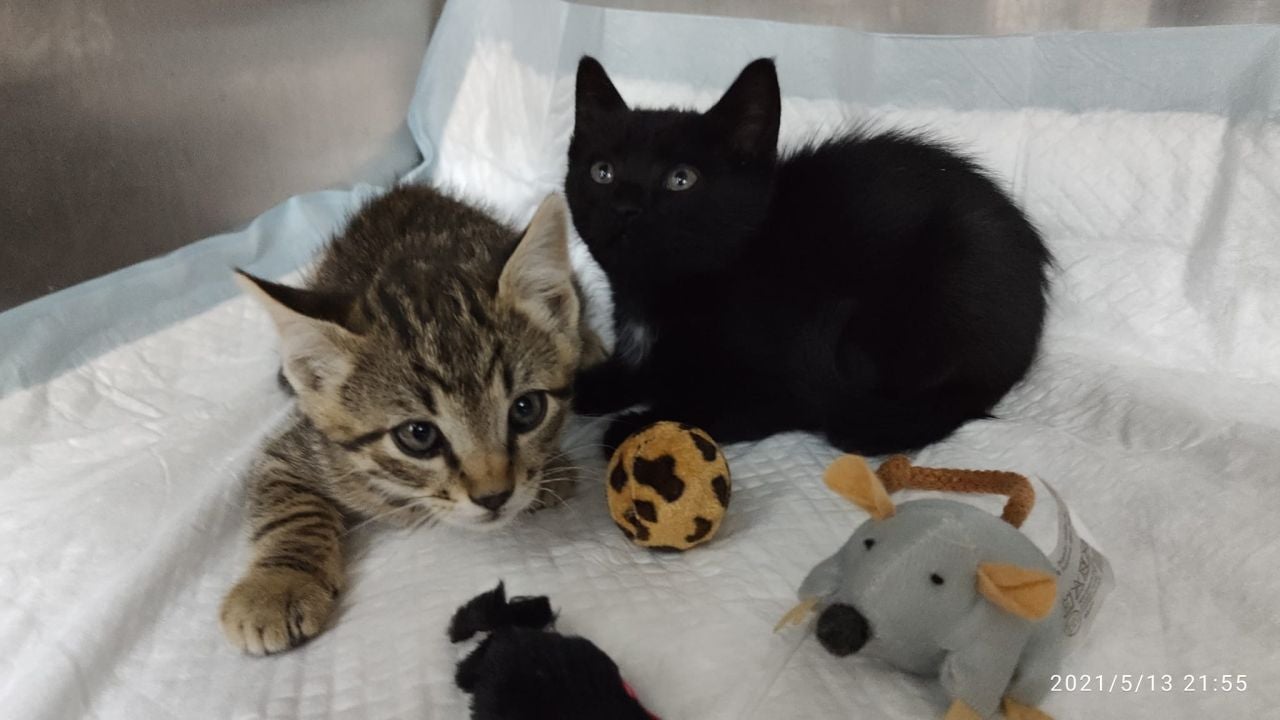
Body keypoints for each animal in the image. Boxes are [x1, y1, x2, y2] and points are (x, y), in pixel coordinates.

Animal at [220, 187, 600, 655]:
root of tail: (407, 191)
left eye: (526, 409)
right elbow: (288, 508)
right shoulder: (295, 449)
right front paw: (276, 586)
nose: (494, 496)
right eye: (418, 436)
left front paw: (552, 471)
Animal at [565, 57, 1050, 456]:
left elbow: (703, 405)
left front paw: (635, 427)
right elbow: (643, 370)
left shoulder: (781, 393)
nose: (625, 206)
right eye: (602, 172)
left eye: (681, 179)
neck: (658, 296)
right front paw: (593, 383)